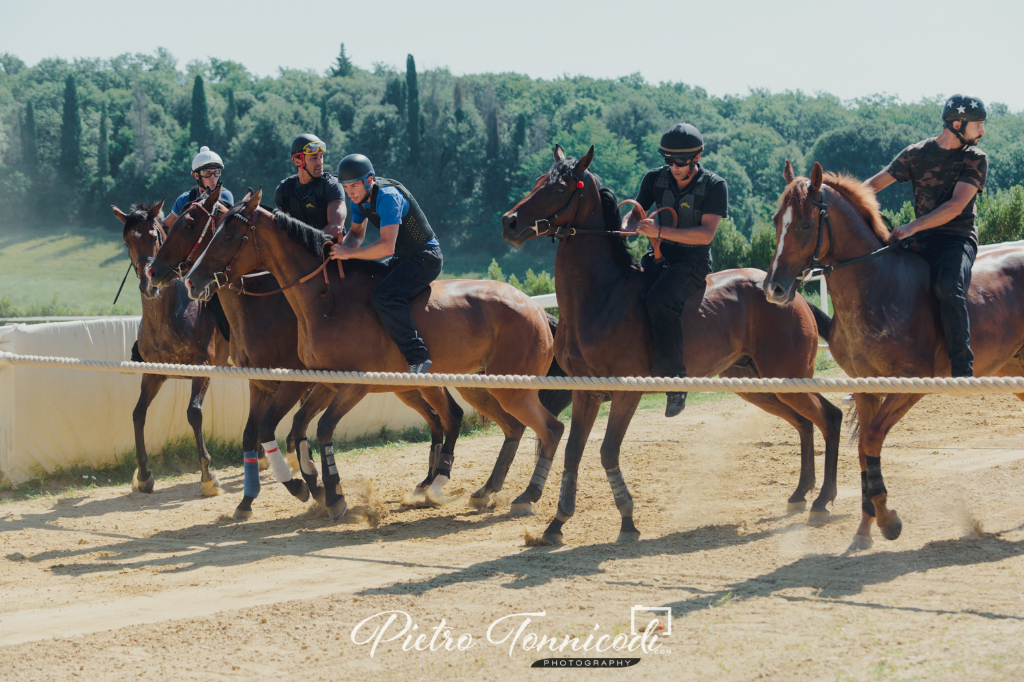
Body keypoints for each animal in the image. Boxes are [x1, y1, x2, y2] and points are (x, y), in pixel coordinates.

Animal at [113, 200, 230, 493]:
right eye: (127, 242)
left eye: (155, 236)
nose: (148, 283)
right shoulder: (154, 373)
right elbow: (138, 413)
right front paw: (144, 474)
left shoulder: (202, 369)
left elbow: (194, 414)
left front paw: (208, 475)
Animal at [145, 186, 464, 516]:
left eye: (190, 224)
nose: (153, 271)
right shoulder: (260, 383)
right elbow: (253, 434)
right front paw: (249, 499)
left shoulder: (295, 382)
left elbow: (278, 430)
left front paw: (308, 485)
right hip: (406, 386)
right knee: (438, 418)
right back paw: (427, 481)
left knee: (445, 416)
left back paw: (433, 481)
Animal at [182, 188, 569, 518]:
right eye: (212, 231)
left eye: (227, 236)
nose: (190, 280)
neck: (326, 297)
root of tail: (536, 309)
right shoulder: (323, 382)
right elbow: (295, 426)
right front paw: (316, 488)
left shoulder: (352, 384)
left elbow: (320, 428)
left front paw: (330, 493)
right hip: (481, 386)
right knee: (510, 427)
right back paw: (484, 490)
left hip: (511, 389)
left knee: (549, 429)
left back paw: (524, 496)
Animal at [499, 146, 843, 544]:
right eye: (539, 181)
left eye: (558, 187)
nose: (509, 222)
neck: (602, 296)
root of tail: (790, 295)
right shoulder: (586, 393)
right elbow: (573, 452)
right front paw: (557, 523)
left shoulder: (626, 394)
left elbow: (607, 452)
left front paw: (627, 521)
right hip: (759, 386)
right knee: (805, 423)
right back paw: (801, 494)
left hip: (788, 378)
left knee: (829, 417)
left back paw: (822, 500)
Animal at [765, 161, 1024, 548]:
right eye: (776, 220)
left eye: (806, 224)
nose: (774, 289)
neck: (876, 283)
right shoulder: (865, 386)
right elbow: (863, 450)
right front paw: (865, 528)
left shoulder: (911, 384)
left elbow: (872, 439)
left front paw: (888, 520)